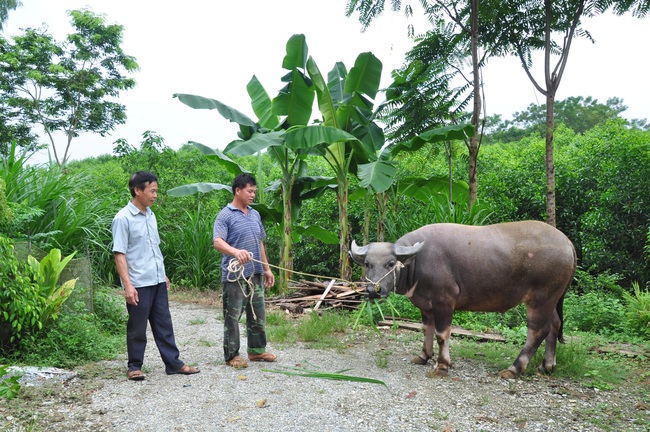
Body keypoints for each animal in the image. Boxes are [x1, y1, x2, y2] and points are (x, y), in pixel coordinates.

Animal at [350, 221, 572, 380]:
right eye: (367, 263)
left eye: (390, 263)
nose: (373, 290)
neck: (418, 262)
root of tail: (567, 243)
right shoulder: (426, 305)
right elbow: (426, 329)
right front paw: (424, 356)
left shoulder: (444, 301)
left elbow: (442, 335)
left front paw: (442, 365)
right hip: (552, 299)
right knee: (554, 324)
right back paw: (547, 365)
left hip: (540, 299)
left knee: (538, 331)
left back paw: (514, 369)